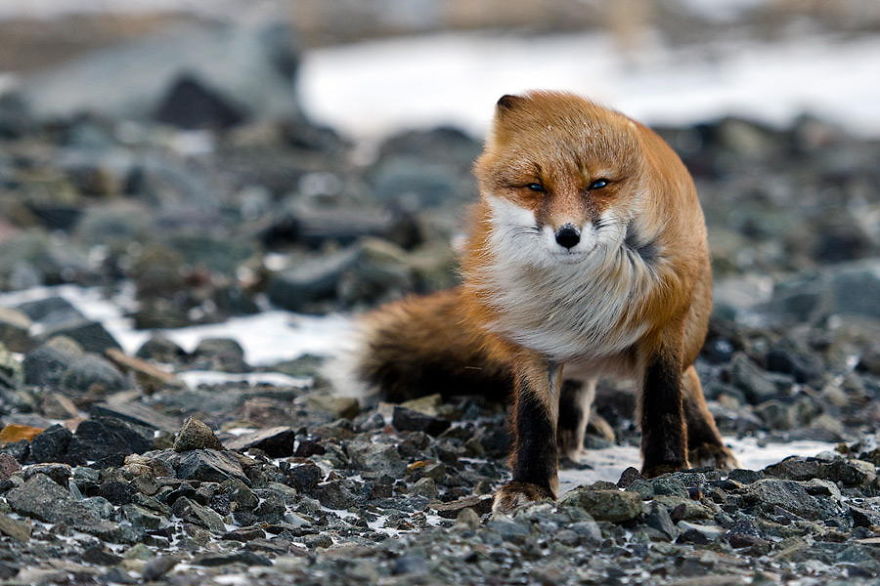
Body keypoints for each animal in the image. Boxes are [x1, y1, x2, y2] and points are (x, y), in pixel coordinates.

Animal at [353, 91, 738, 513]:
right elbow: (535, 418)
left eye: (598, 184)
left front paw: (667, 468)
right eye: (535, 187)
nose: (568, 236)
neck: (577, 294)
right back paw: (570, 436)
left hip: (688, 326)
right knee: (575, 388)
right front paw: (531, 485)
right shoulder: (532, 335)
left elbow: (662, 400)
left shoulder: (663, 323)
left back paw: (707, 444)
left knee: (688, 380)